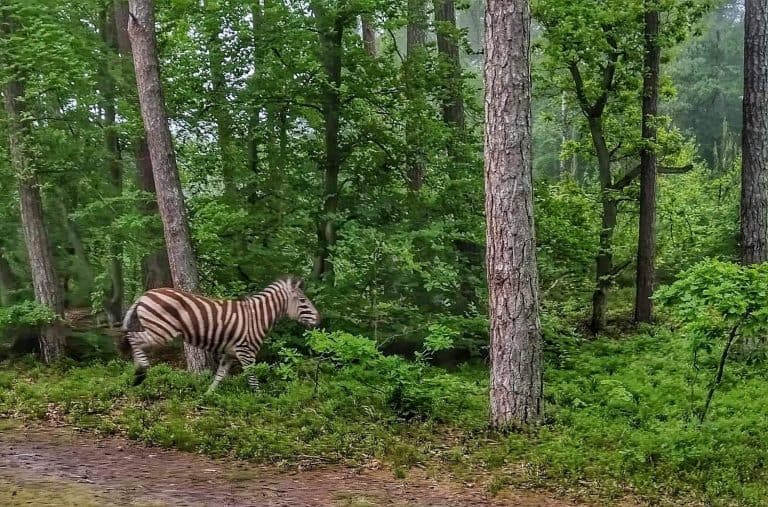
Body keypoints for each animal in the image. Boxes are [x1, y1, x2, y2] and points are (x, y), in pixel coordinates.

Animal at [120, 276, 320, 393]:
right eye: (303, 301)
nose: (320, 319)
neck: (257, 317)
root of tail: (144, 294)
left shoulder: (229, 354)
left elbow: (219, 377)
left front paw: (207, 397)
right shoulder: (246, 352)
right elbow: (253, 379)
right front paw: (260, 402)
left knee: (134, 338)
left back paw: (137, 373)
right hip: (161, 330)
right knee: (134, 339)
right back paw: (141, 372)